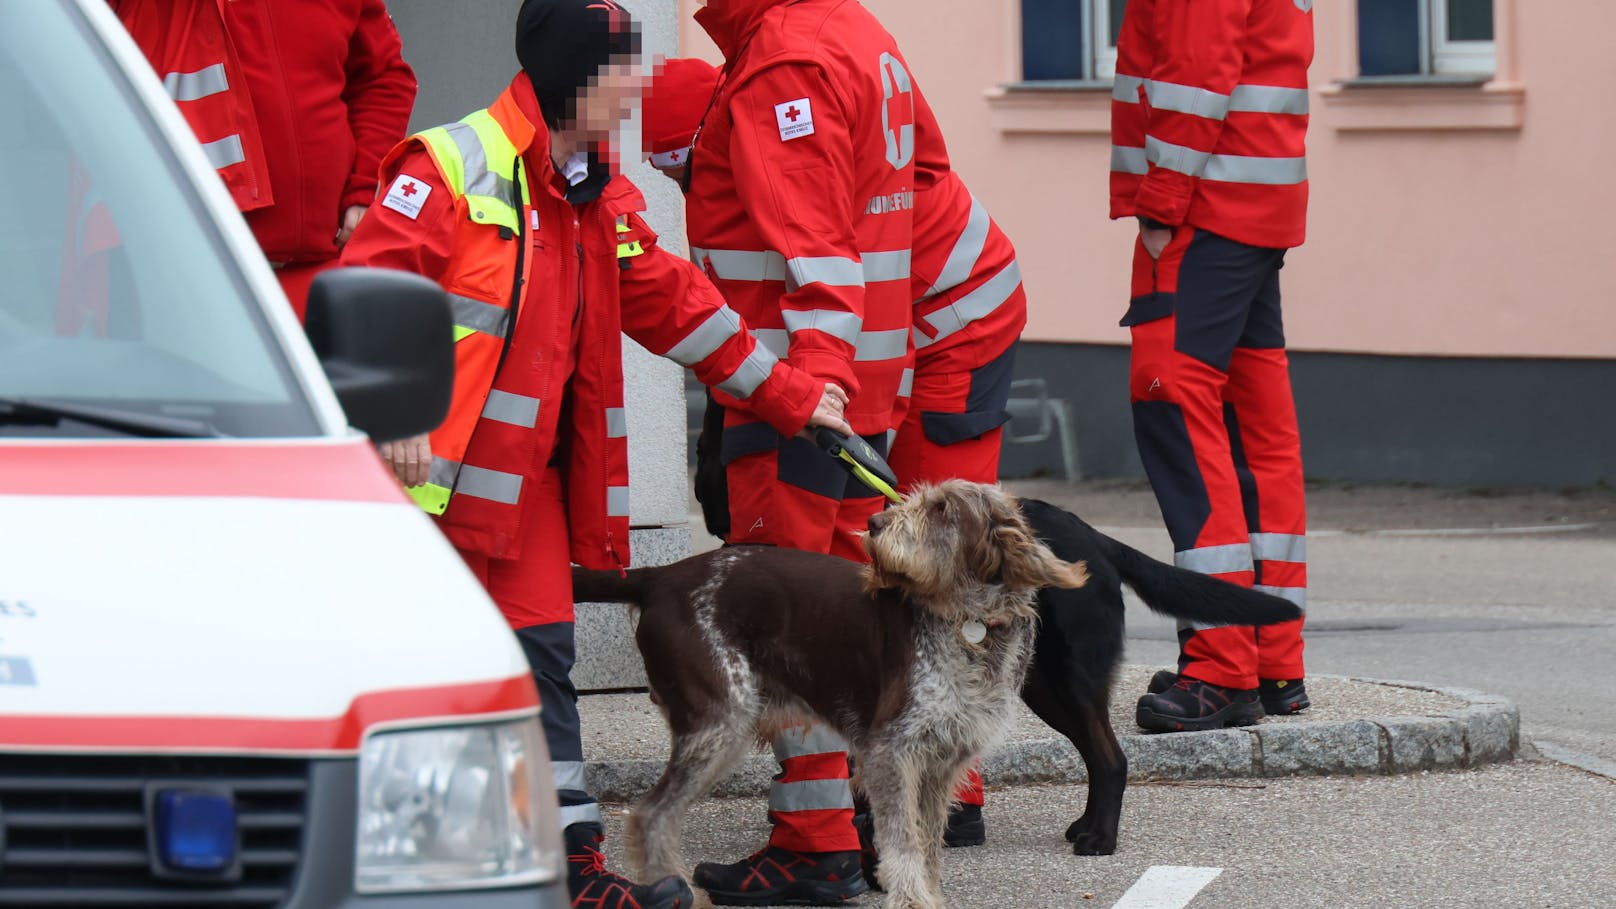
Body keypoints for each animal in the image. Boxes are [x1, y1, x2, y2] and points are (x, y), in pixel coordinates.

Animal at [572, 478, 1085, 899]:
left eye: (941, 508)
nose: (874, 523)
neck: (968, 621)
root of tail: (660, 576)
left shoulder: (944, 760)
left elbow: (928, 847)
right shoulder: (889, 751)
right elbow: (903, 847)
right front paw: (911, 897)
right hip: (718, 724)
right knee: (651, 816)